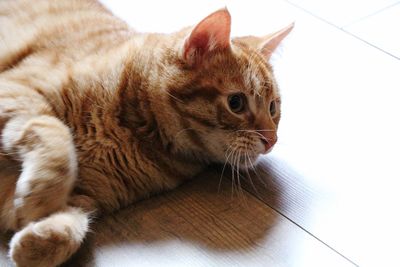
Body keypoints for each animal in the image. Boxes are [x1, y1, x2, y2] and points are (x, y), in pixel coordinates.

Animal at [0, 1, 294, 266]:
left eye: (273, 107)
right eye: (236, 103)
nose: (272, 140)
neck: (135, 132)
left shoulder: (85, 195)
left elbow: (76, 220)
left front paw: (41, 242)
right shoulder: (17, 91)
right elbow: (55, 137)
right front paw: (41, 194)